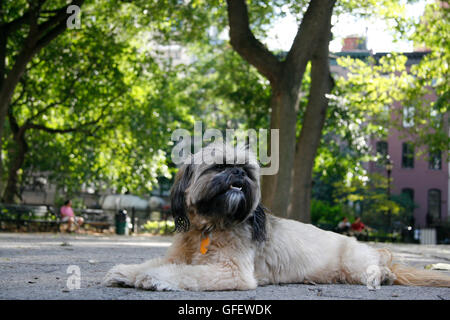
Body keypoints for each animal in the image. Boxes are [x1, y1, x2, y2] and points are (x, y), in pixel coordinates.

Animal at [103, 142, 450, 290]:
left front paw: (154, 278)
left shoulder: (232, 273)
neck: (209, 227)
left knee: (377, 270)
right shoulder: (179, 254)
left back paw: (382, 276)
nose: (238, 173)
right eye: (220, 166)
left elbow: (185, 274)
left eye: (247, 170)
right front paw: (127, 271)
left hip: (356, 263)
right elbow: (155, 262)